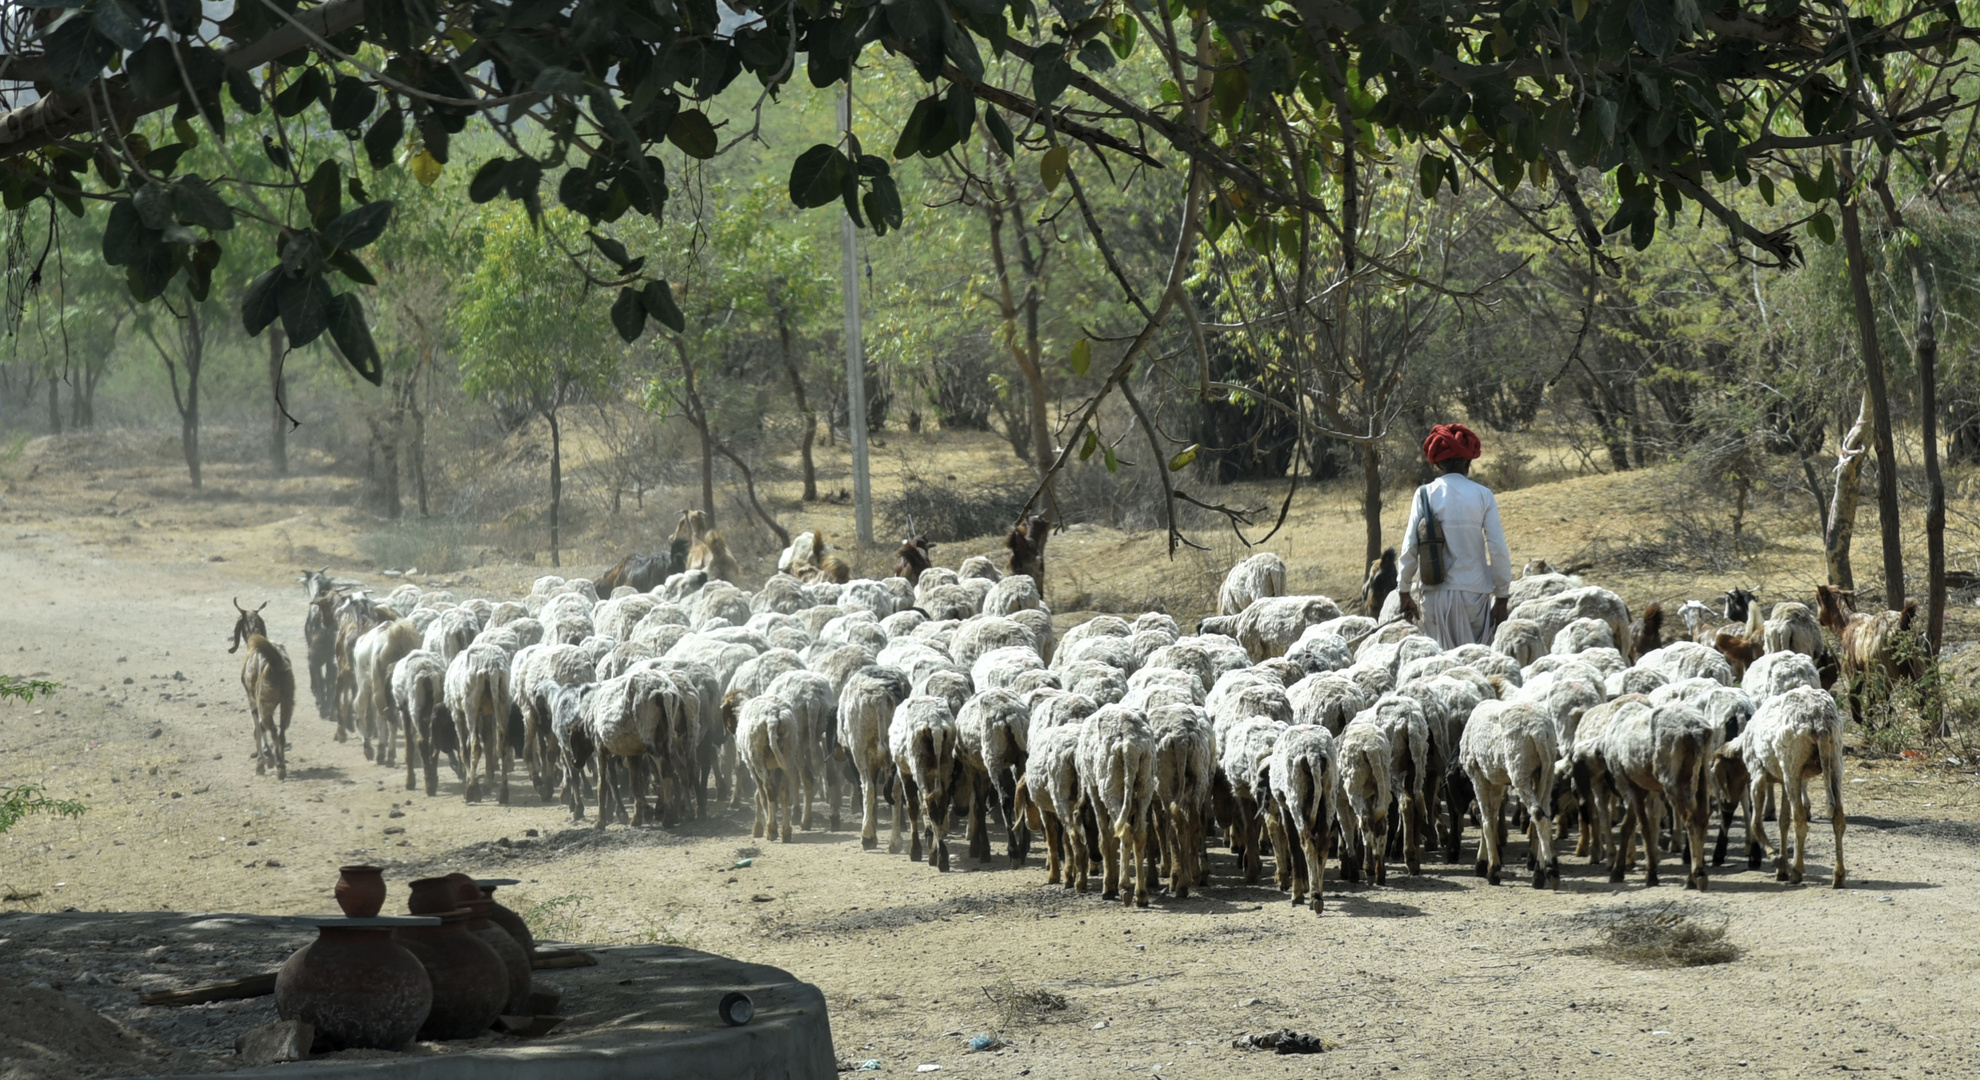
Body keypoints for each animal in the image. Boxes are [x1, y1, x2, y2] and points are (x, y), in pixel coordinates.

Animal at [230, 598, 293, 776]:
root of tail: (275, 663)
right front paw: (268, 757)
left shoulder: (252, 700)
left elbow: (257, 729)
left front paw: (262, 762)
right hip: (287, 704)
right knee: (281, 732)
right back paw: (281, 765)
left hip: (265, 702)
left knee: (272, 731)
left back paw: (279, 767)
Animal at [1813, 582, 1924, 725]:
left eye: (1818, 599)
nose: (1819, 619)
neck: (1847, 623)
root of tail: (1900, 624)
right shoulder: (1867, 673)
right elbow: (1870, 700)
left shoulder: (1855, 671)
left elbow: (1854, 696)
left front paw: (1863, 722)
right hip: (1915, 668)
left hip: (1884, 673)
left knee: (1887, 705)